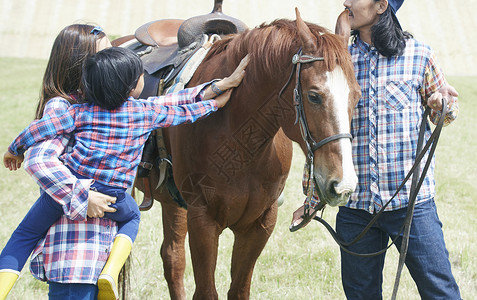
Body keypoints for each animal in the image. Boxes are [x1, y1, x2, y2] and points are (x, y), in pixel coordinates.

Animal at [133, 8, 356, 298]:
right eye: (314, 96)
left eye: (357, 96)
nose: (343, 185)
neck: (242, 145)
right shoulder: (202, 220)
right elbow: (206, 291)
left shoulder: (260, 223)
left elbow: (239, 289)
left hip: (173, 203)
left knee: (172, 259)